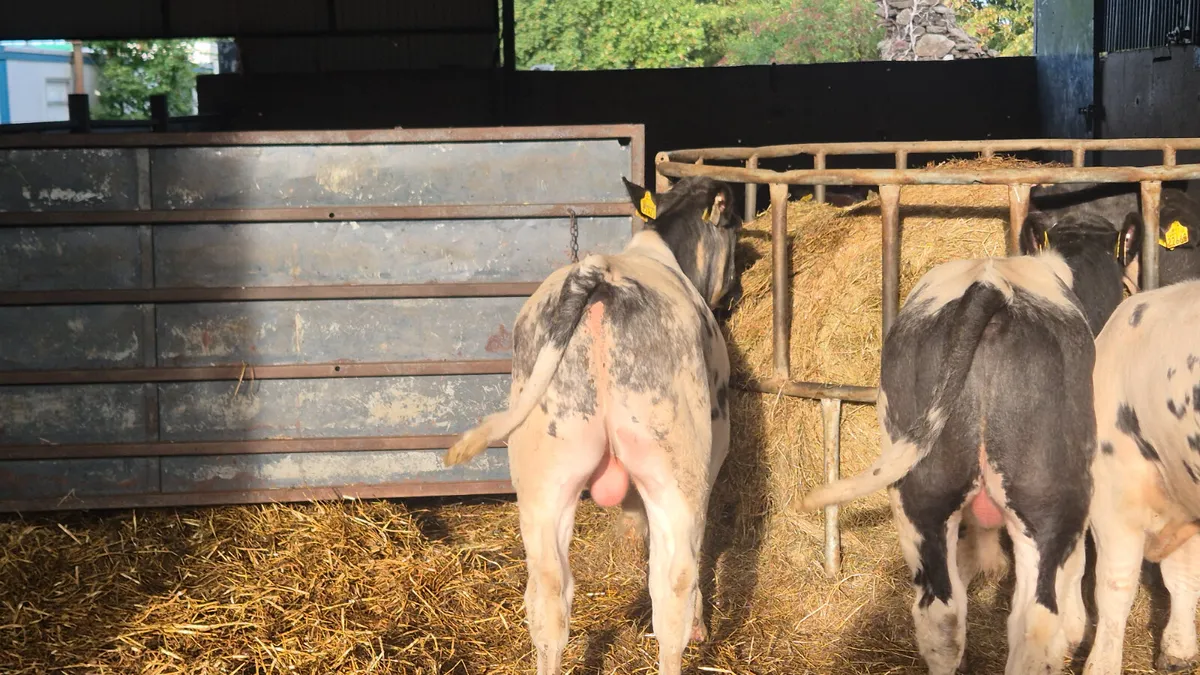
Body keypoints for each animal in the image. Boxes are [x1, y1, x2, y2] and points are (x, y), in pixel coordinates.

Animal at [443, 175, 742, 675]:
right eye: (734, 224)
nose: (735, 289)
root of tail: (600, 274)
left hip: (544, 473)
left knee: (548, 597)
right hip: (676, 468)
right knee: (673, 590)